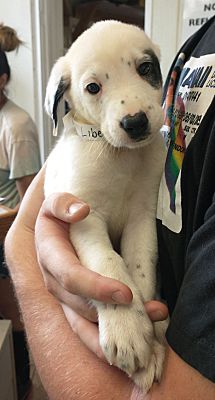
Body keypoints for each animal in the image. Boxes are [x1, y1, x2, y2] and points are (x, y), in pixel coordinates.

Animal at [44, 20, 167, 392]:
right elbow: (109, 264)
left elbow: (140, 268)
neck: (118, 156)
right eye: (93, 87)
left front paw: (152, 338)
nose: (135, 122)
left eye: (145, 69)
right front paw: (127, 328)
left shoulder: (142, 217)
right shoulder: (84, 217)